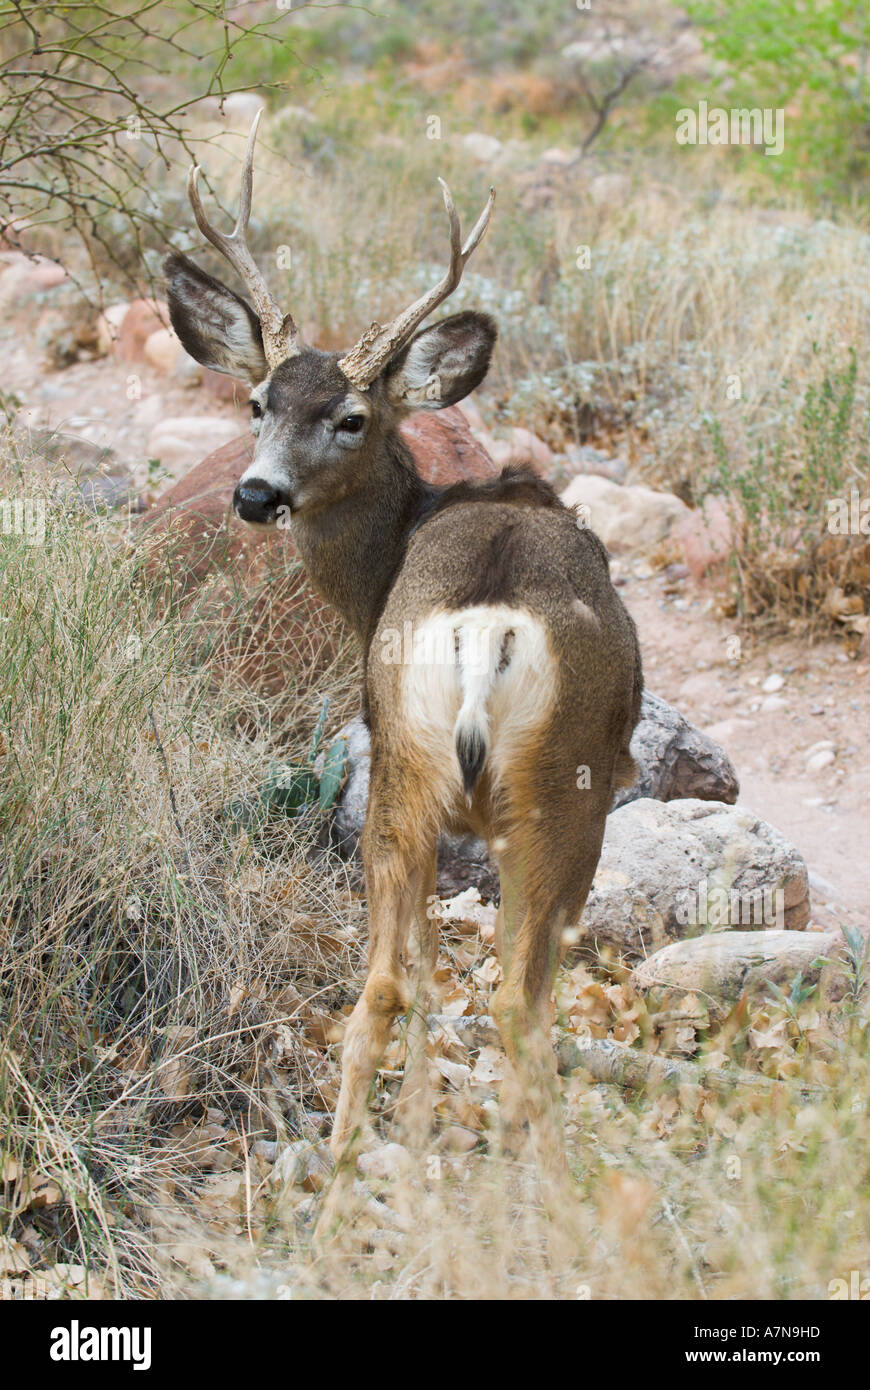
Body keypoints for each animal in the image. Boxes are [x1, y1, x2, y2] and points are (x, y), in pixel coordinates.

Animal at [163, 113, 636, 1234]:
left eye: (350, 417)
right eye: (256, 401)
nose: (255, 494)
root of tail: (484, 625)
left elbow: (416, 975)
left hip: (404, 773)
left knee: (382, 983)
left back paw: (337, 1203)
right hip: (561, 793)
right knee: (517, 1000)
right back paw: (552, 1200)